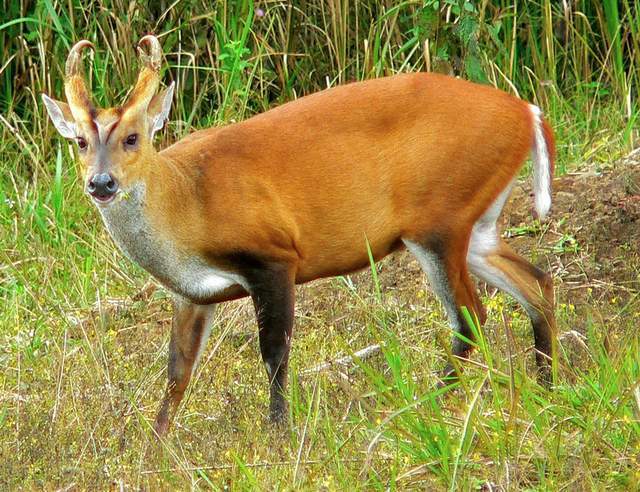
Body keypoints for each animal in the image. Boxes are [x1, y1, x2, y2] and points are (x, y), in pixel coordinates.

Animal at [42, 36, 556, 436]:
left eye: (132, 138)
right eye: (80, 142)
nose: (101, 183)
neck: (187, 201)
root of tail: (527, 111)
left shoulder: (273, 256)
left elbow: (274, 353)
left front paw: (278, 432)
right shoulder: (192, 294)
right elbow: (176, 373)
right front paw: (156, 446)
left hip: (439, 218)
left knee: (472, 316)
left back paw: (425, 406)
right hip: (476, 223)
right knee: (536, 281)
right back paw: (547, 386)